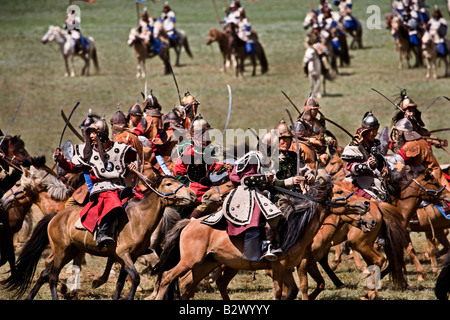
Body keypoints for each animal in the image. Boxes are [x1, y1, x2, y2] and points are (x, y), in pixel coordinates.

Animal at [0, 170, 197, 300]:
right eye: (169, 184)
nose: (192, 194)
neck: (138, 218)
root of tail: (56, 216)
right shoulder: (124, 254)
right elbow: (135, 278)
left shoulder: (129, 256)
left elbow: (121, 282)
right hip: (61, 250)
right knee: (52, 277)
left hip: (68, 250)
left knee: (45, 273)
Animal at [151, 178, 370, 300]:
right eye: (339, 192)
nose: (366, 203)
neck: (292, 227)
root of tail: (189, 223)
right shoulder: (278, 268)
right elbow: (280, 293)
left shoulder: (285, 268)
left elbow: (291, 292)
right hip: (191, 260)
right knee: (169, 277)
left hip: (207, 263)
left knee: (190, 284)